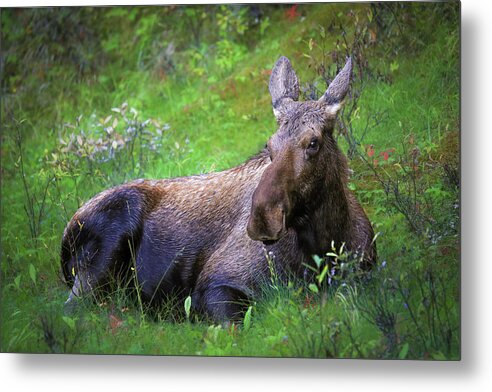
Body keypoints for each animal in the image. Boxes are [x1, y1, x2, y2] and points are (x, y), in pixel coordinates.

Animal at [61, 57, 376, 322]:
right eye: (269, 144)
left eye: (313, 142)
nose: (262, 218)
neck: (325, 244)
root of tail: (64, 241)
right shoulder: (215, 284)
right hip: (102, 254)